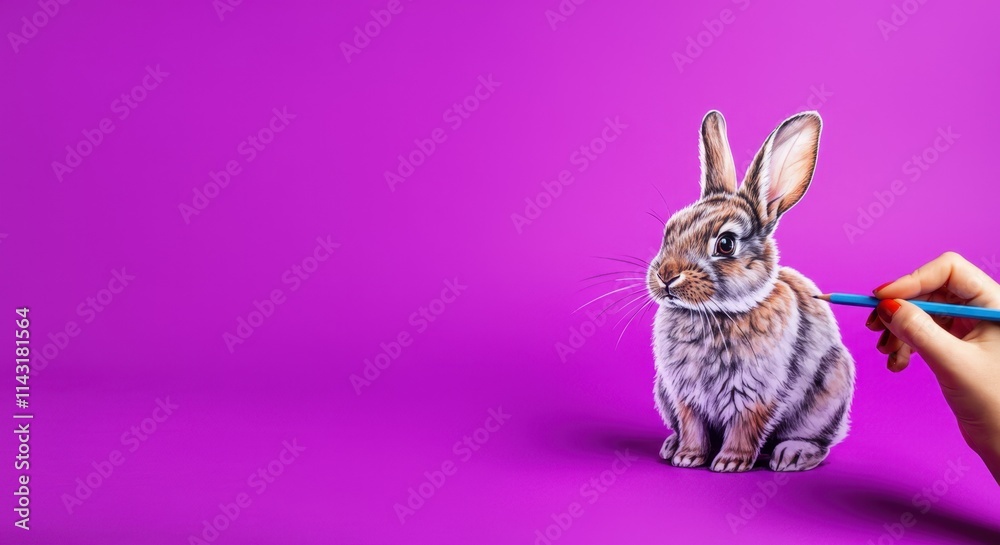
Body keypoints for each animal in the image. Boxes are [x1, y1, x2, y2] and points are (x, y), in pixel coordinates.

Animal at [649, 110, 855, 472]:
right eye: (670, 230)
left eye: (726, 244)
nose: (666, 276)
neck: (716, 313)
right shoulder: (683, 395)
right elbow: (692, 426)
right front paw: (688, 457)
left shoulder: (756, 394)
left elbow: (745, 427)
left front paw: (730, 463)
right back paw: (671, 445)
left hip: (830, 392)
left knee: (818, 442)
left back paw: (792, 455)